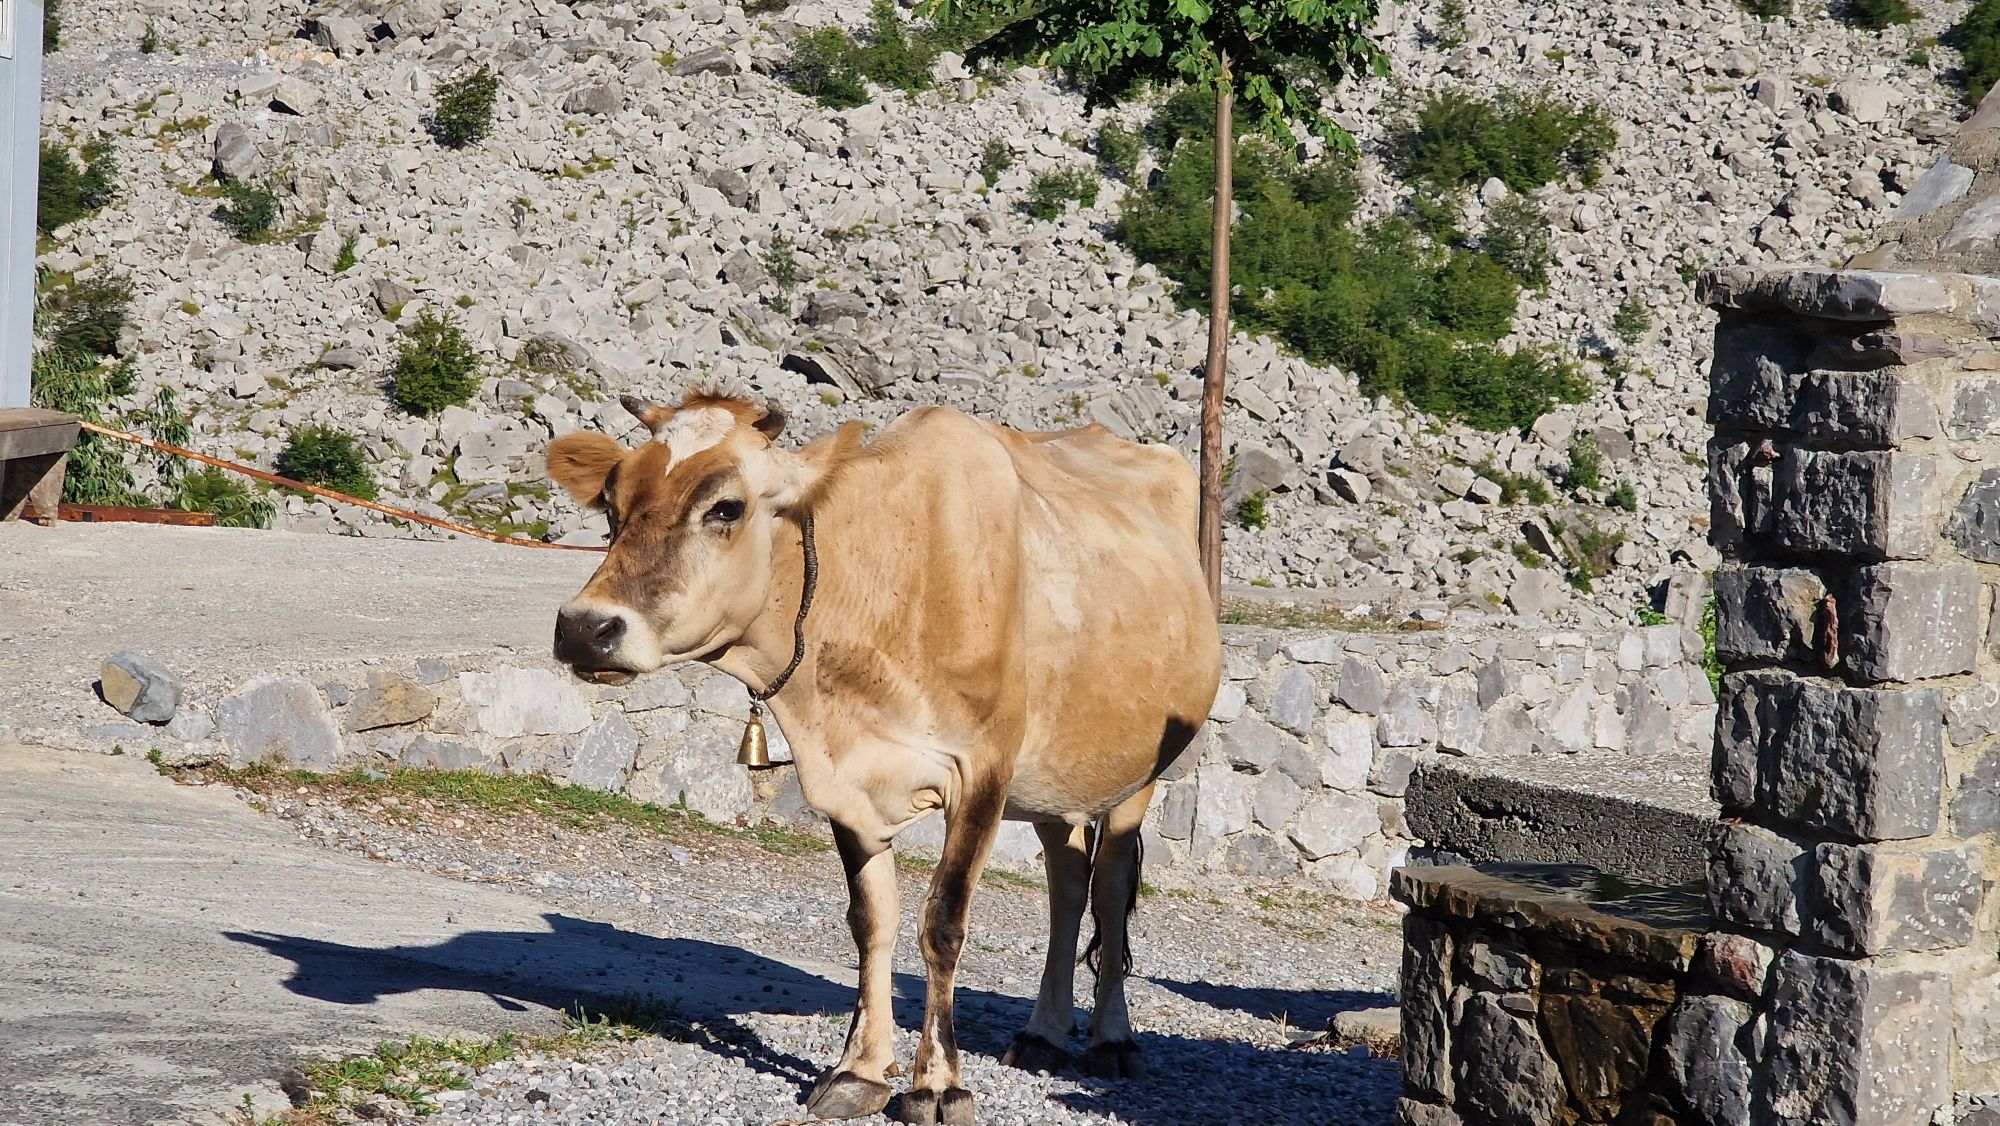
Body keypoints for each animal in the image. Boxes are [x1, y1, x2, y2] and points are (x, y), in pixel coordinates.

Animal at [545, 391, 1221, 1125]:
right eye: (611, 505)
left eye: (726, 507)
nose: (584, 627)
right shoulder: (846, 780)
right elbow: (871, 920)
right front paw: (859, 1070)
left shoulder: (982, 770)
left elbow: (943, 923)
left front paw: (939, 1084)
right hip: (1054, 777)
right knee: (1067, 884)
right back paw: (1043, 1033)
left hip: (1138, 775)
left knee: (1110, 887)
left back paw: (1112, 1042)